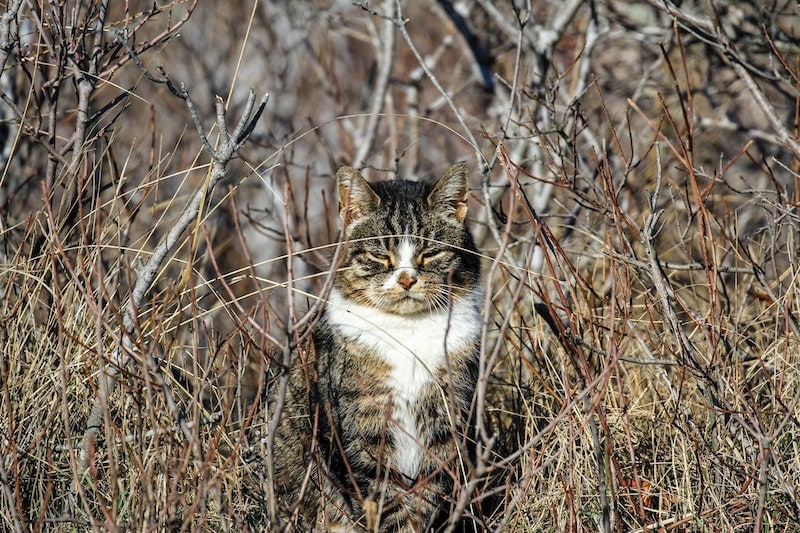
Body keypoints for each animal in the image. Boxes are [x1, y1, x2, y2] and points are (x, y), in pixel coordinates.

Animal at [268, 163, 482, 532]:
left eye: (431, 253)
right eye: (381, 256)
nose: (407, 279)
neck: (408, 332)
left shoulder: (445, 424)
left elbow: (427, 497)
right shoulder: (360, 433)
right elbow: (384, 502)